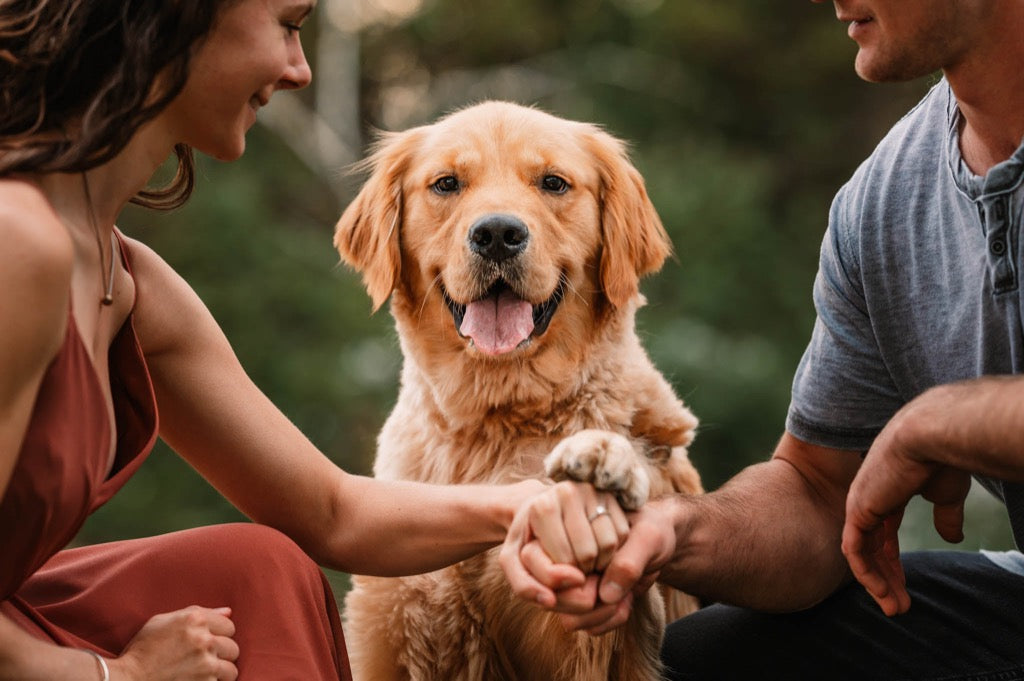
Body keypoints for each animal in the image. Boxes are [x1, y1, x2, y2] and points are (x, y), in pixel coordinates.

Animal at [335, 100, 704, 679]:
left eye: (553, 182)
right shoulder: (390, 627)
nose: (497, 234)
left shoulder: (583, 637)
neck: (492, 418)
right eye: (446, 183)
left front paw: (607, 458)